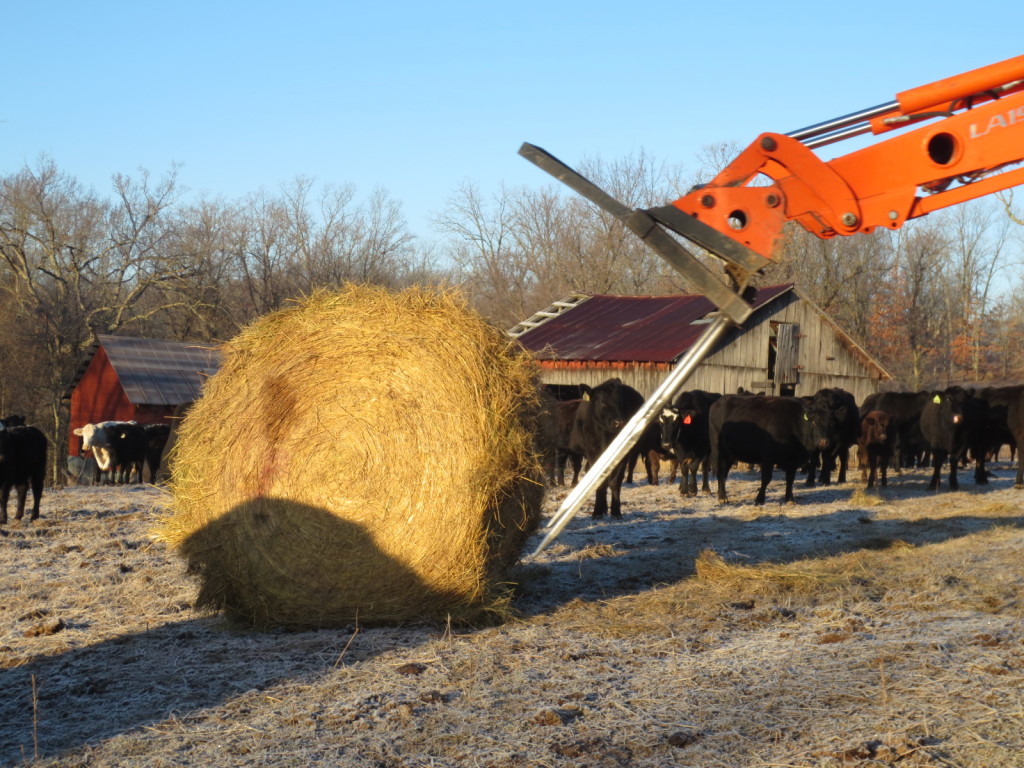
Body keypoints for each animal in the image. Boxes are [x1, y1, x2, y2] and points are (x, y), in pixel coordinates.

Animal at [567, 378, 643, 518]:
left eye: (621, 402)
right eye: (603, 402)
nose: (620, 422)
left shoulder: (623, 454)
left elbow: (615, 481)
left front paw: (616, 511)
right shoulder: (592, 453)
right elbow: (599, 481)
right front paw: (597, 512)